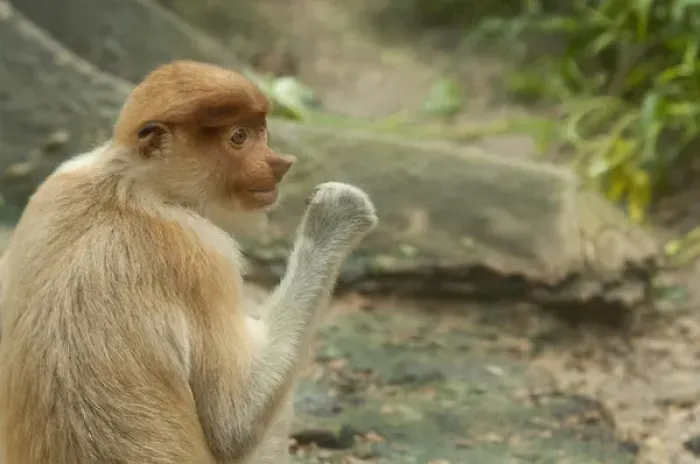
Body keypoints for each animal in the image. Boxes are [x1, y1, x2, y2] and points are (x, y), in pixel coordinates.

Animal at [0, 60, 378, 464]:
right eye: (238, 137)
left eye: (260, 130)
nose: (280, 164)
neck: (128, 185)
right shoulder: (207, 256)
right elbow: (234, 425)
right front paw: (338, 214)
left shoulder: (57, 181)